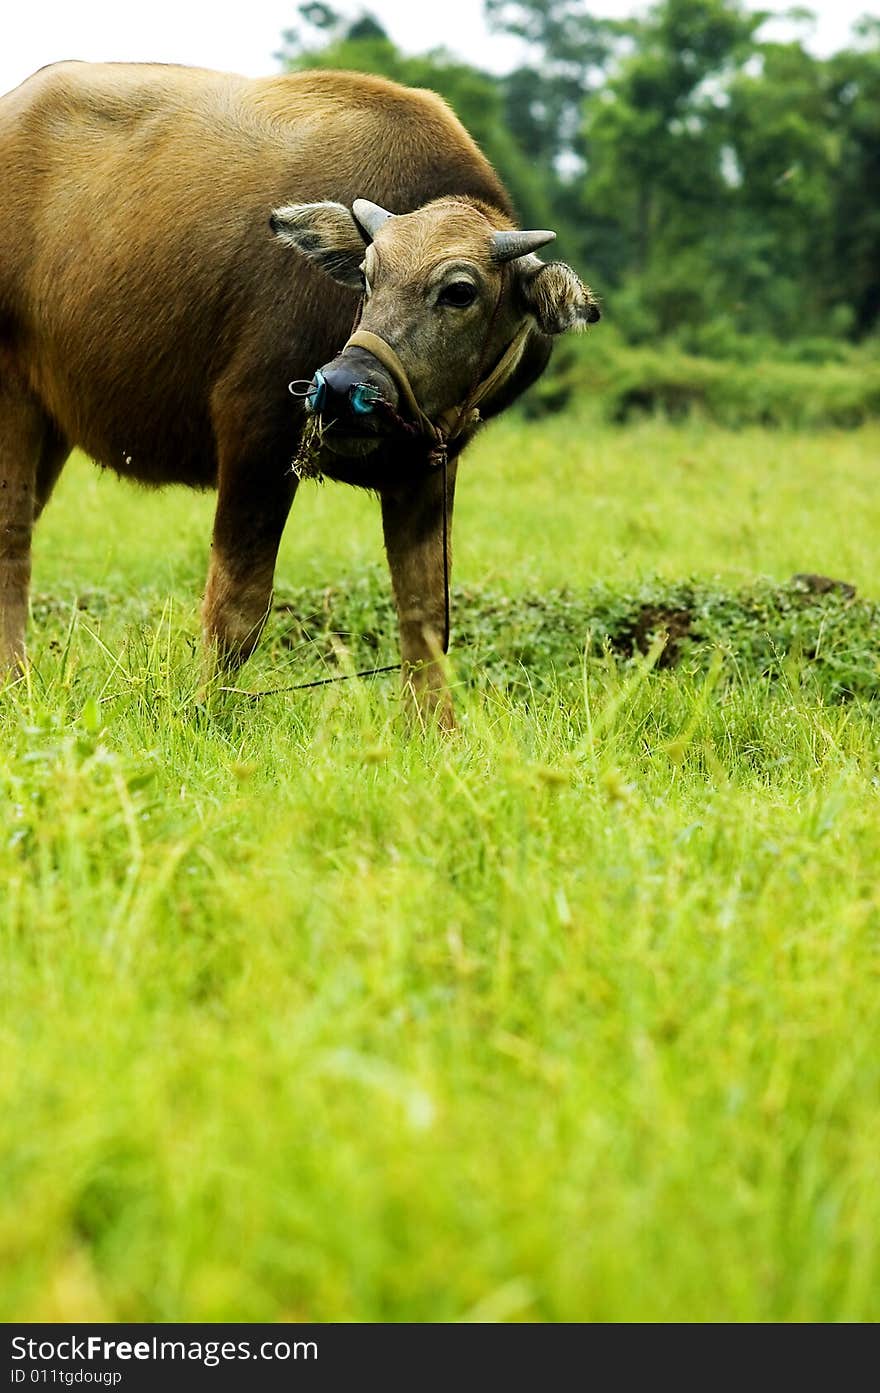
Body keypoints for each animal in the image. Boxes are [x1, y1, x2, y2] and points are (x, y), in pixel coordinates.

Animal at [0, 59, 598, 724]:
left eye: (460, 290)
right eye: (368, 275)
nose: (340, 388)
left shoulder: (429, 468)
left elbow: (425, 618)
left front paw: (435, 731)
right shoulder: (256, 438)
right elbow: (239, 604)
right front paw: (210, 715)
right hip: (11, 392)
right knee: (12, 541)